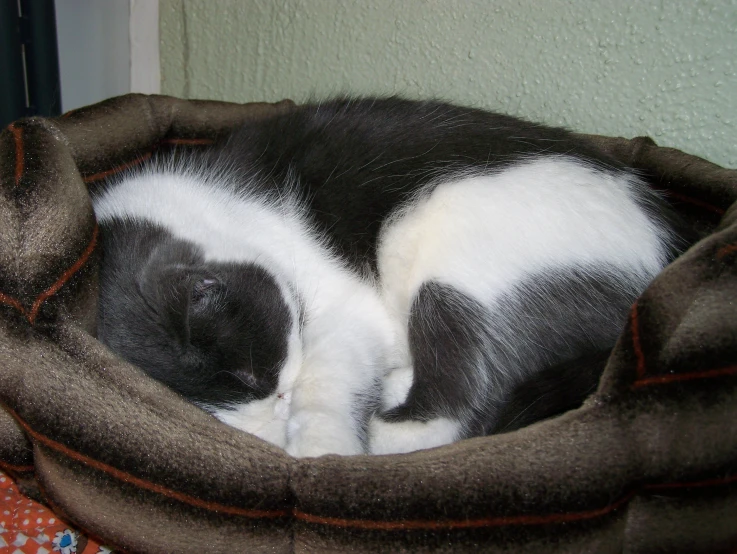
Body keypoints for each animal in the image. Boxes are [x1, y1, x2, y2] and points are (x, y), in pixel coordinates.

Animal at [92, 97, 684, 454]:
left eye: (248, 375)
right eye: (218, 416)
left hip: (455, 255)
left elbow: (326, 379)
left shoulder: (347, 301)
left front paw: (322, 448)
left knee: (459, 405)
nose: (274, 408)